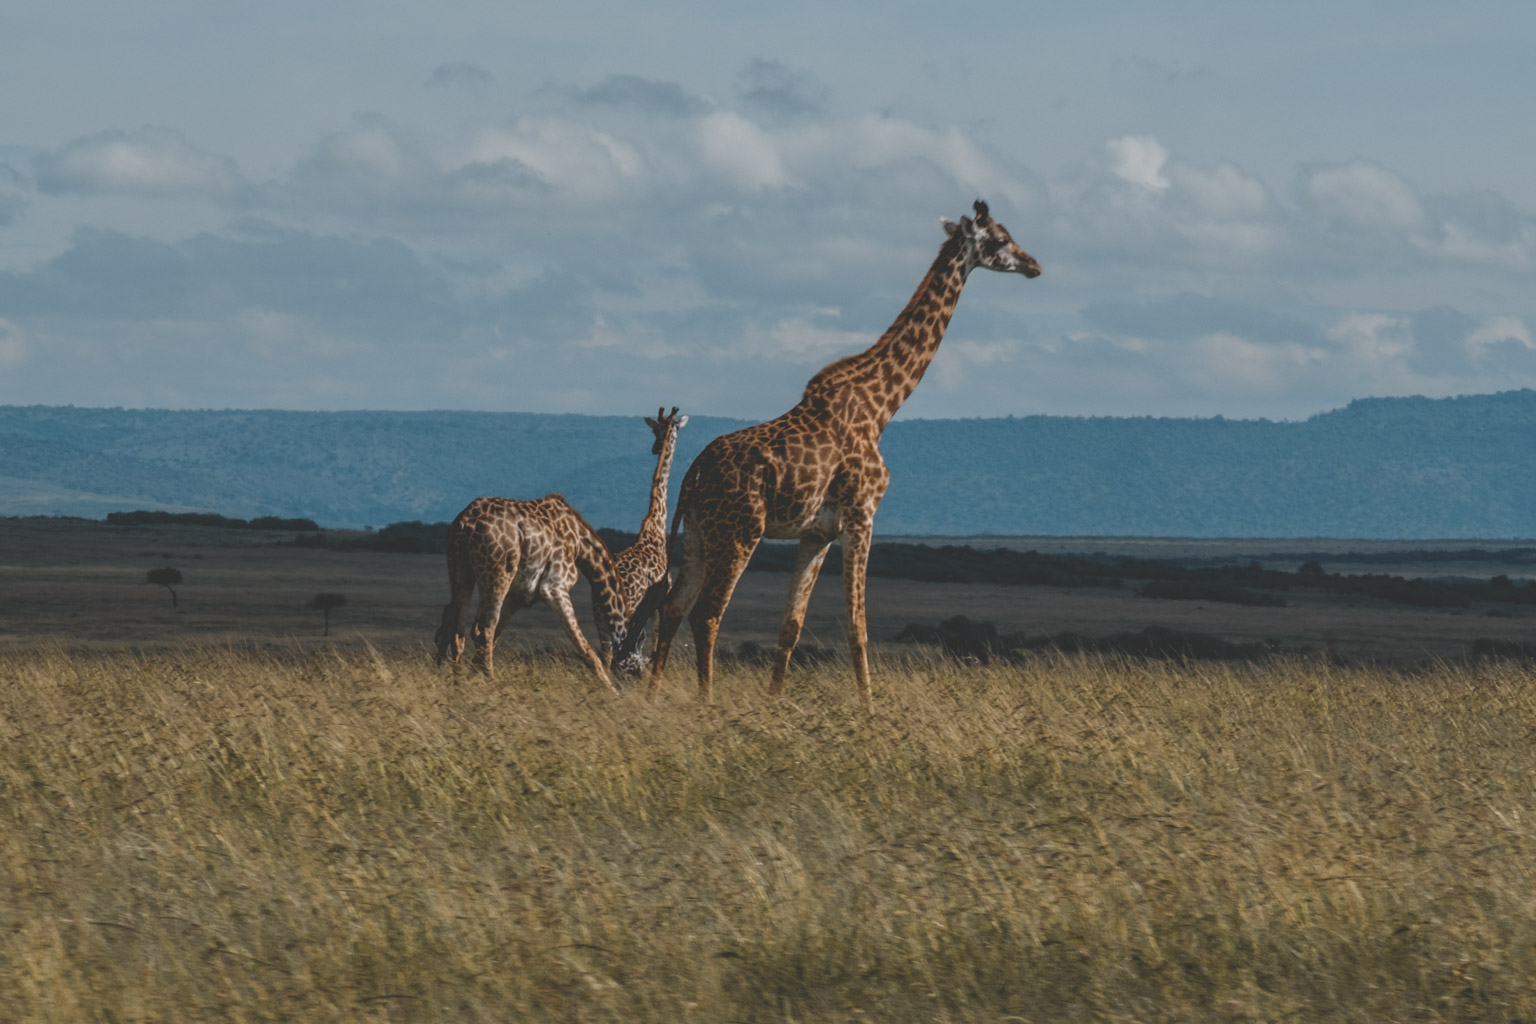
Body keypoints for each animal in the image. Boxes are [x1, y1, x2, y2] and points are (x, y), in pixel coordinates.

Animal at [434, 493, 628, 693]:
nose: (628, 680)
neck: (580, 544)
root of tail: (466, 523)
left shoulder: (517, 596)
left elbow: (492, 636)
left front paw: (471, 678)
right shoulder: (554, 586)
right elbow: (585, 648)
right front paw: (612, 691)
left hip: (460, 567)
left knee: (455, 623)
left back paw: (452, 683)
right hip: (498, 573)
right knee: (484, 629)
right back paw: (493, 683)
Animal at [611, 406, 688, 677]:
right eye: (655, 430)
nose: (655, 448)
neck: (655, 525)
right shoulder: (660, 603)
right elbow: (655, 642)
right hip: (629, 607)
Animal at [645, 200, 1040, 709]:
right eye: (1000, 240)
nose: (1034, 265)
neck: (882, 405)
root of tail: (692, 477)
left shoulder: (817, 533)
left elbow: (791, 626)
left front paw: (774, 706)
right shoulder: (861, 515)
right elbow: (857, 626)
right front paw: (870, 709)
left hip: (698, 533)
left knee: (674, 608)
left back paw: (652, 698)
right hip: (739, 532)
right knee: (707, 613)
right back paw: (707, 701)